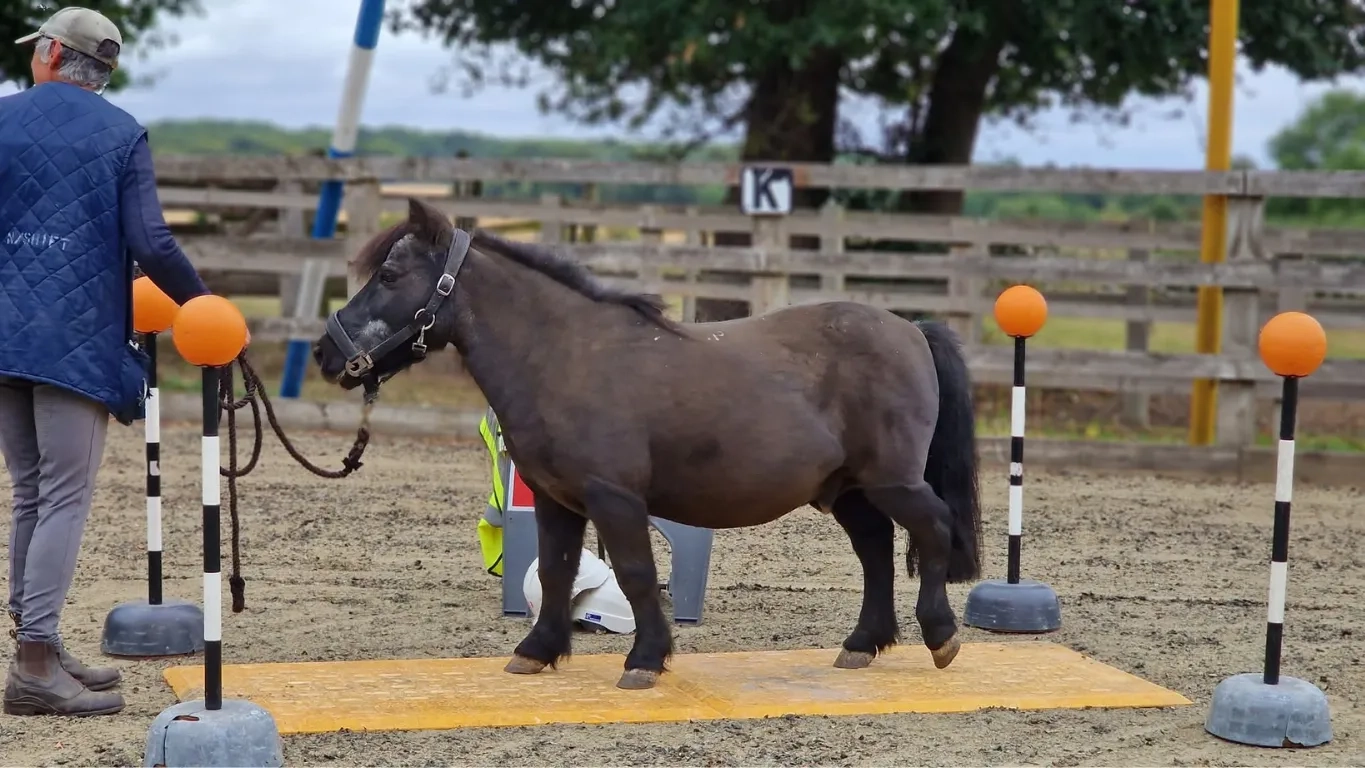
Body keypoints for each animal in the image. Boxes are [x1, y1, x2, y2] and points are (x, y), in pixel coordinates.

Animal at [312, 198, 984, 691]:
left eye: (389, 275)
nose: (325, 353)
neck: (563, 354)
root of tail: (911, 329)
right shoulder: (557, 501)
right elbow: (555, 572)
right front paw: (537, 650)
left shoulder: (614, 500)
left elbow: (636, 575)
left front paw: (645, 660)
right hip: (848, 489)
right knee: (875, 550)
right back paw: (862, 645)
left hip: (892, 480)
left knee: (932, 528)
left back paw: (941, 637)